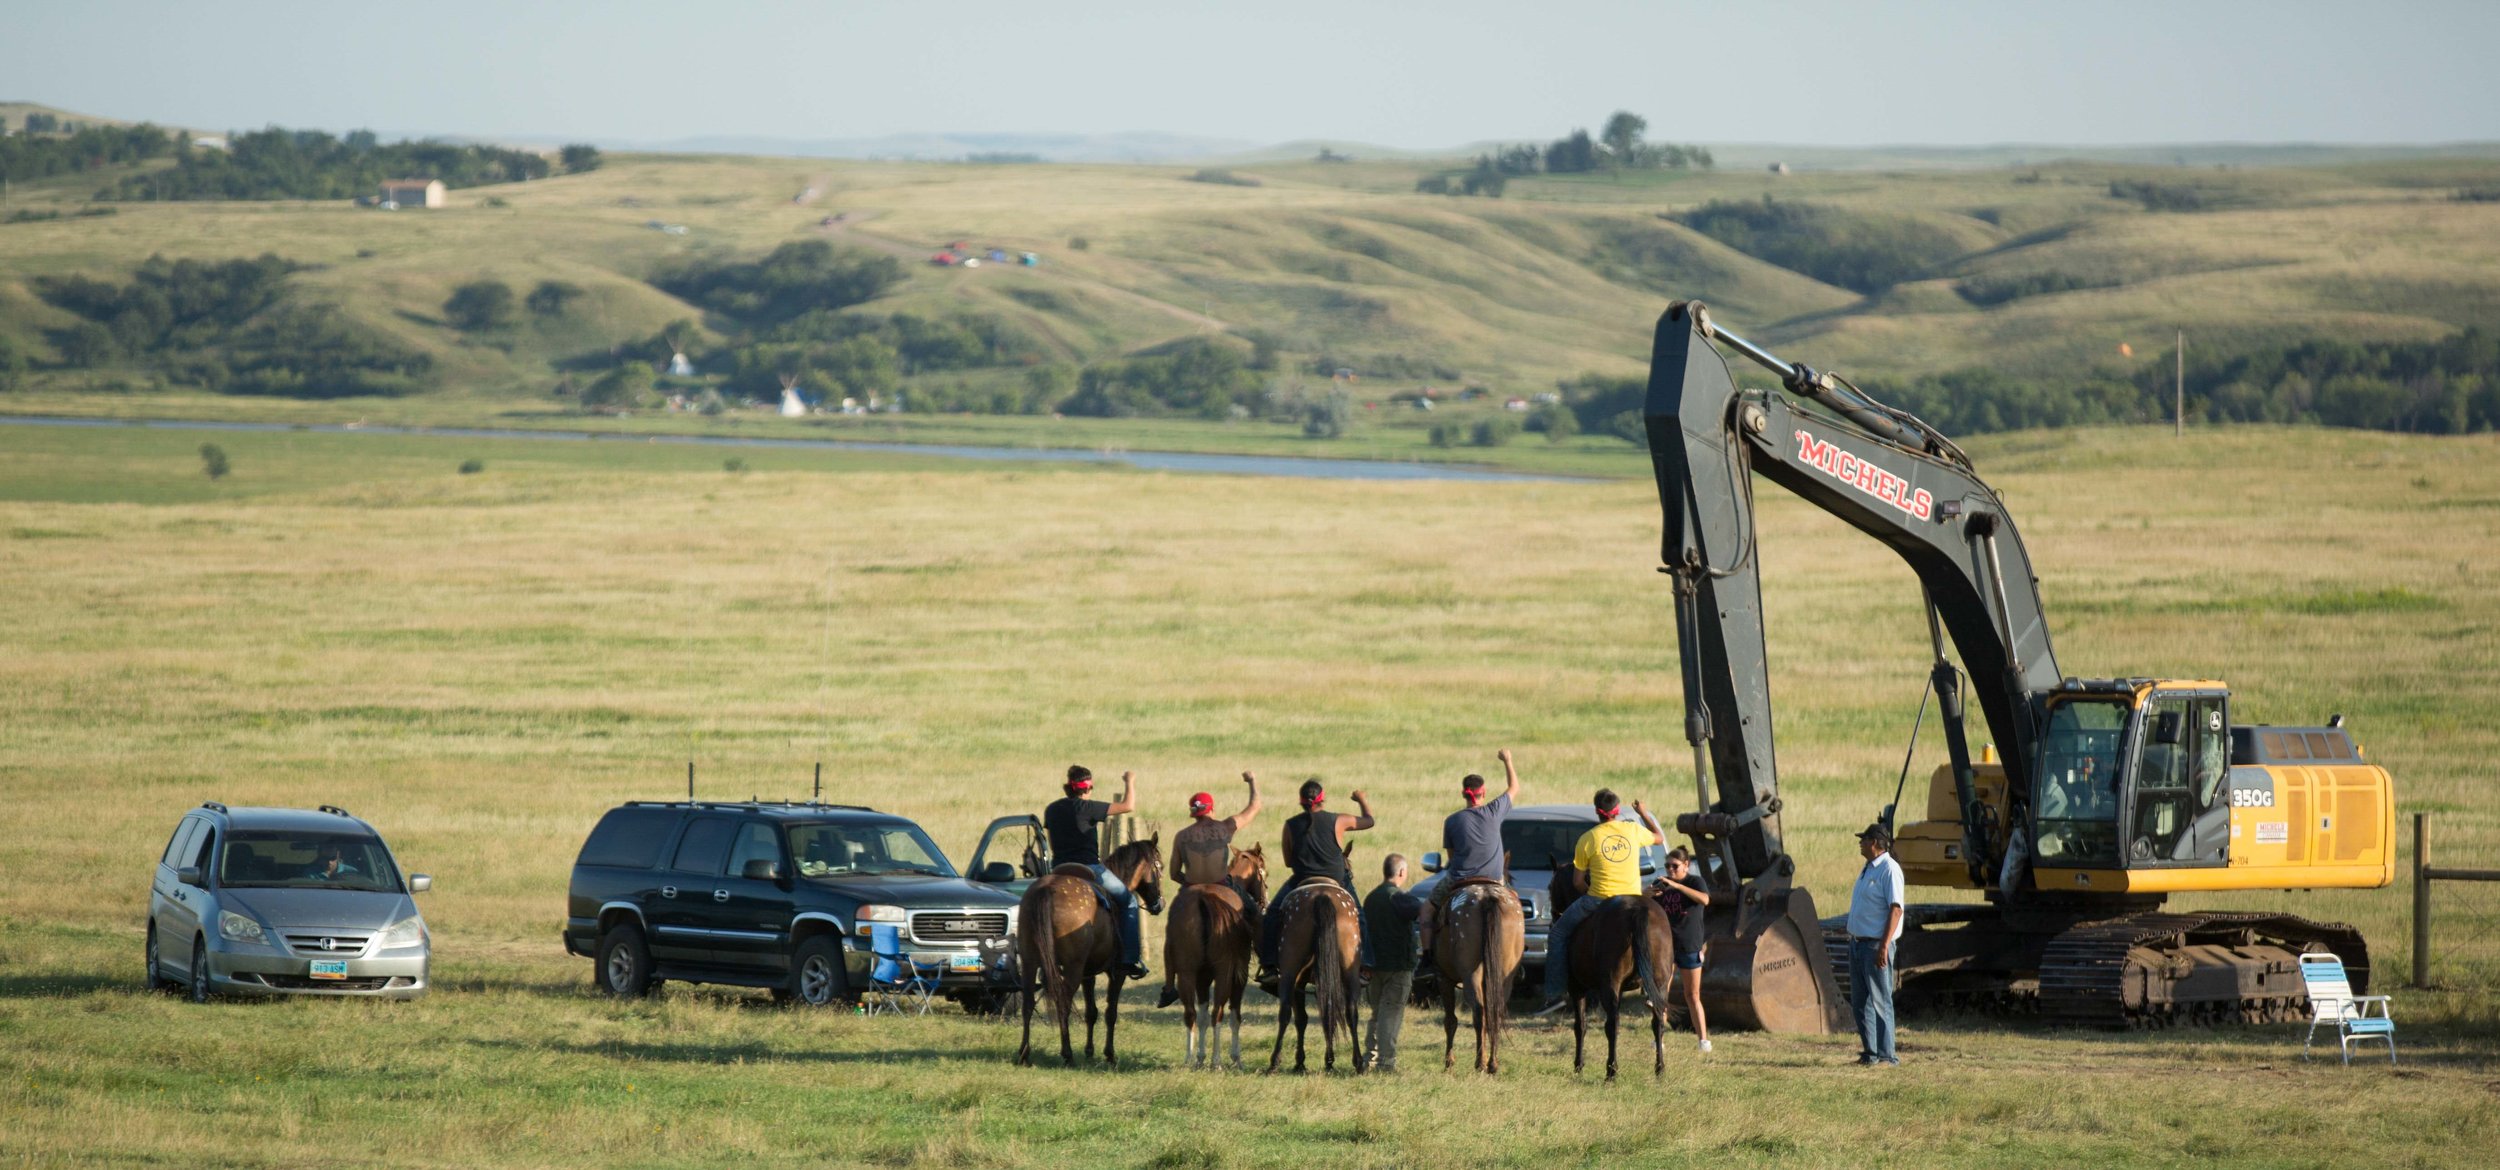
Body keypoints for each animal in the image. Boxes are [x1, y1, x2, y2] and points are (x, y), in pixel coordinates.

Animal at [1015, 830, 1170, 1070]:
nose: (1159, 904)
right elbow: (1110, 1012)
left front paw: (1089, 1051)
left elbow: (1091, 1012)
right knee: (1063, 1002)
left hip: (1030, 961)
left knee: (1028, 1003)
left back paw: (1024, 1053)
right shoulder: (1117, 973)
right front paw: (1109, 1054)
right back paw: (1067, 1054)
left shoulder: (1088, 974)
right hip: (1072, 968)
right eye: (1159, 866)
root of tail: (1046, 889)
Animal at [1155, 845, 1260, 1065]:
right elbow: (1235, 1015)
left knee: (1191, 1013)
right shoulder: (1239, 975)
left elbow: (1202, 1015)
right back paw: (1216, 1061)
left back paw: (1189, 1058)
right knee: (1217, 1012)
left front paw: (1200, 1056)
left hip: (1187, 972)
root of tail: (1204, 899)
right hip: (1223, 971)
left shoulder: (1202, 977)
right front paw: (1236, 1058)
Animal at [1270, 880, 1370, 1080]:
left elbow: (1301, 1019)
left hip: (1289, 968)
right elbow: (1327, 1015)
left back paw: (1274, 1062)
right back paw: (1358, 1063)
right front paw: (1329, 1061)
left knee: (1284, 1011)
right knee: (1351, 1013)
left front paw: (1301, 1062)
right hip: (1350, 969)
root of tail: (1322, 895)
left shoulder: (1299, 983)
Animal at [1440, 880, 1530, 1075]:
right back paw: (1492, 1064)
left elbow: (1450, 1020)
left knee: (1478, 1012)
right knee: (1494, 1013)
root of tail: (1488, 896)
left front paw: (1449, 1062)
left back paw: (1480, 1063)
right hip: (1505, 977)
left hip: (1470, 974)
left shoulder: (1443, 978)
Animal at [1560, 895, 1680, 1080]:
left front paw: (1578, 1066)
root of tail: (1638, 909)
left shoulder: (1577, 988)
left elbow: (1580, 1026)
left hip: (1610, 984)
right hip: (1660, 984)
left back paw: (1611, 1071)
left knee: (1612, 1025)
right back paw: (1660, 1070)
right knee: (1658, 1023)